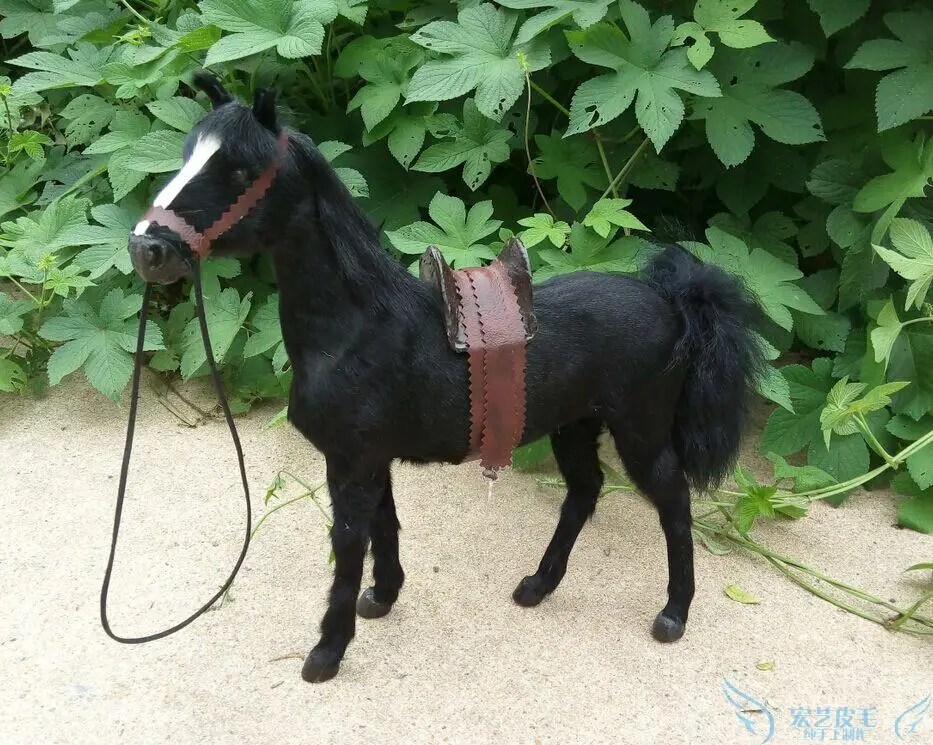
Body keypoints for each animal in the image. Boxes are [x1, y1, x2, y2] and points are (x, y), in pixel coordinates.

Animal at [126, 73, 764, 683]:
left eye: (240, 170)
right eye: (187, 153)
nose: (147, 249)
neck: (356, 328)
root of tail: (672, 300)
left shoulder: (350, 465)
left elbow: (348, 546)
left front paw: (328, 652)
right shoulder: (370, 461)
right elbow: (384, 525)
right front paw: (382, 597)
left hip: (640, 433)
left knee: (673, 502)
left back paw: (674, 614)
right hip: (574, 426)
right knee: (584, 492)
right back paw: (538, 585)